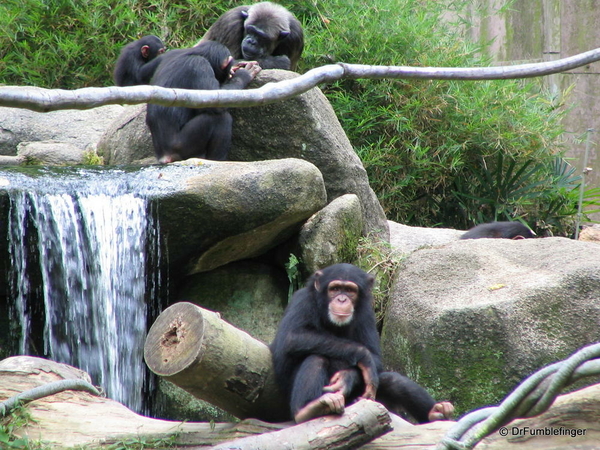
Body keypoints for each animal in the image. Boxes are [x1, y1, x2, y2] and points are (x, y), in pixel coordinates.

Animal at [270, 262, 452, 424]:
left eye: (350, 290)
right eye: (334, 289)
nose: (342, 299)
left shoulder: (367, 313)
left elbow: (376, 358)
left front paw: (346, 377)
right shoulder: (301, 300)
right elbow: (292, 337)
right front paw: (363, 356)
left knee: (394, 381)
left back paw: (436, 411)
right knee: (315, 358)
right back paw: (307, 410)